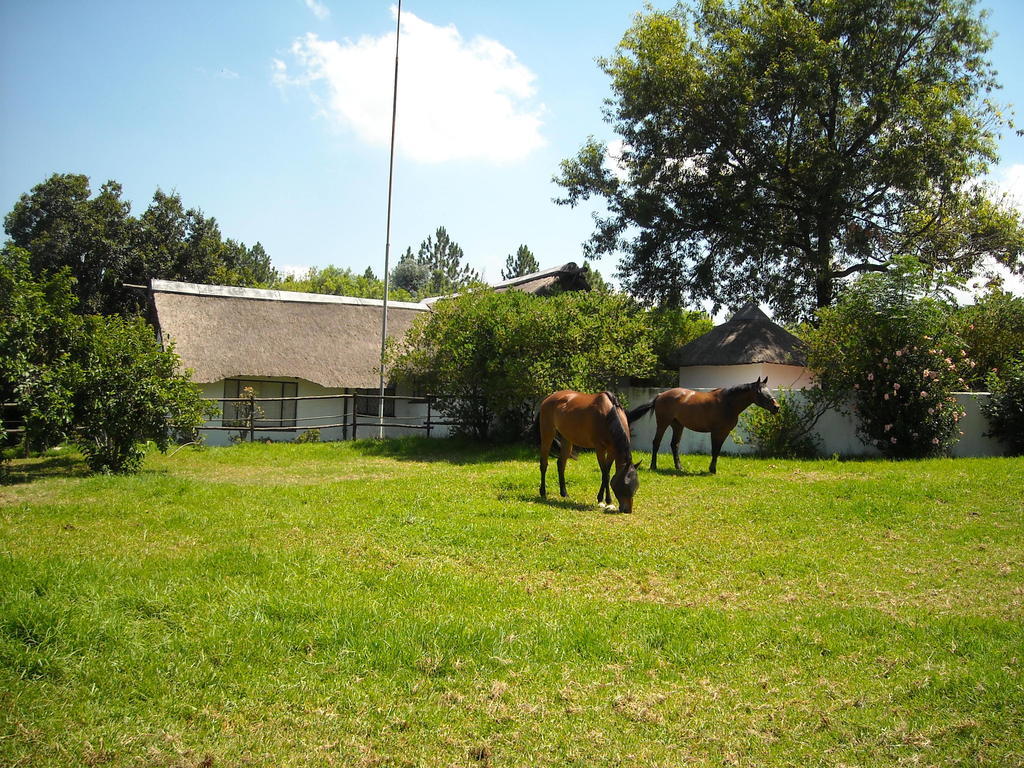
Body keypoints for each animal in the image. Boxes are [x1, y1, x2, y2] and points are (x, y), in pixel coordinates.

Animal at [626, 376, 778, 475]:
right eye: (759, 392)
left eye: (769, 390)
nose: (776, 407)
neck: (727, 403)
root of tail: (660, 395)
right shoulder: (716, 432)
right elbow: (715, 450)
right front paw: (712, 469)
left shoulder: (724, 432)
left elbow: (718, 450)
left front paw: (713, 469)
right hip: (663, 423)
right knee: (656, 442)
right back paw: (653, 466)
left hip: (678, 425)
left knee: (674, 444)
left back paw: (679, 467)